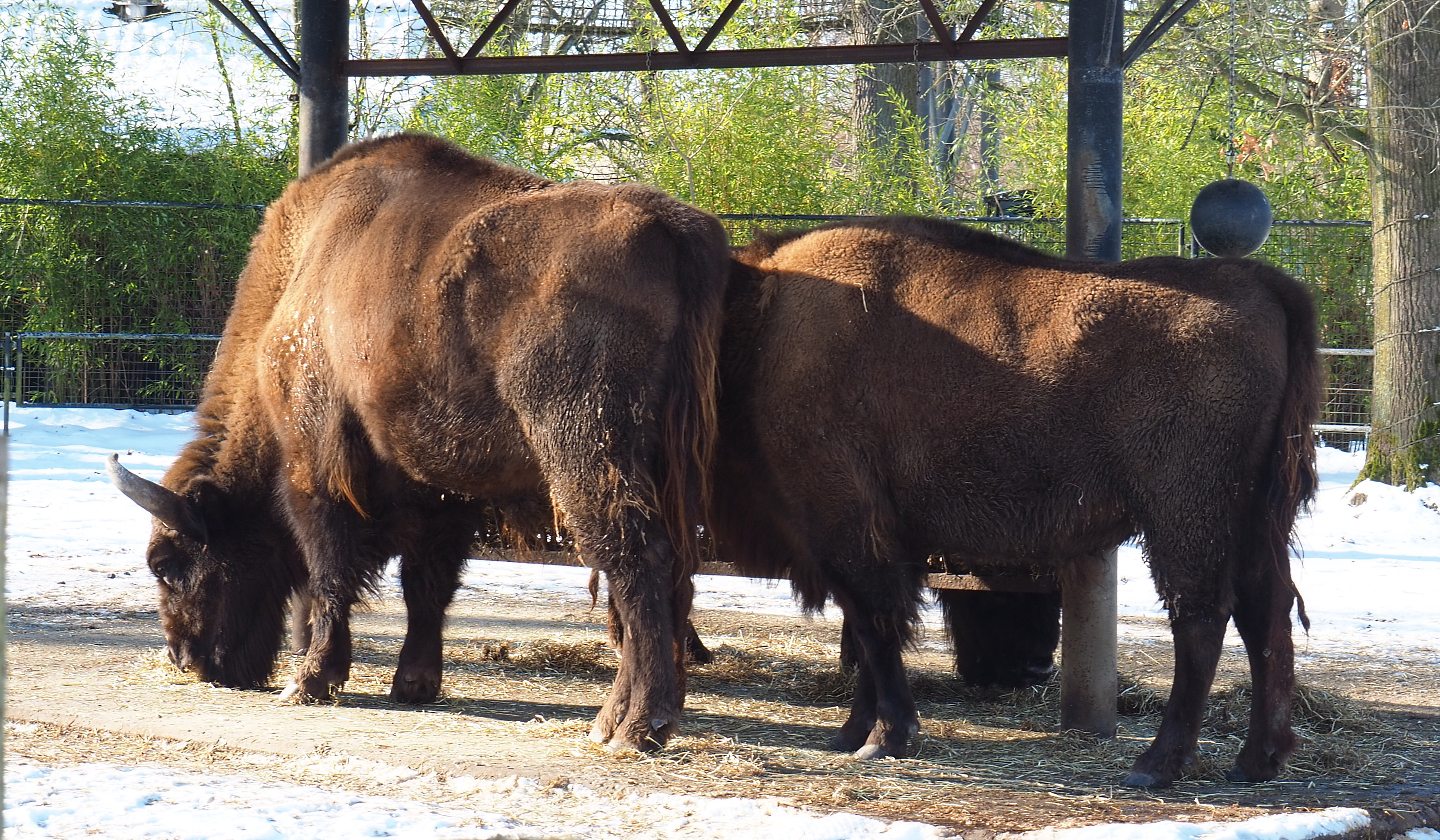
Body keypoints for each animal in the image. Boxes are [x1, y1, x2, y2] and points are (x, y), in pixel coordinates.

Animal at [108, 133, 730, 752]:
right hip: (665, 462)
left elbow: (330, 567)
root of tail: (669, 225)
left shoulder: (318, 467)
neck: (300, 283)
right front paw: (414, 683)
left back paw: (630, 727)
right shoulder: (441, 488)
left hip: (584, 451)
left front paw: (310, 680)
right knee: (667, 570)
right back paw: (633, 715)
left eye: (166, 564)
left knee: (634, 559)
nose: (187, 660)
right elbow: (426, 584)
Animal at [708, 217, 1320, 787]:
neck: (761, 322)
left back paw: (1156, 764)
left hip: (1186, 512)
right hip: (1252, 516)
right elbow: (874, 626)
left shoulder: (845, 520)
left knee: (1201, 612)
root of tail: (1260, 281)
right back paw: (1258, 759)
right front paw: (854, 732)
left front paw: (884, 737)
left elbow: (872, 621)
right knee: (1264, 609)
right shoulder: (887, 533)